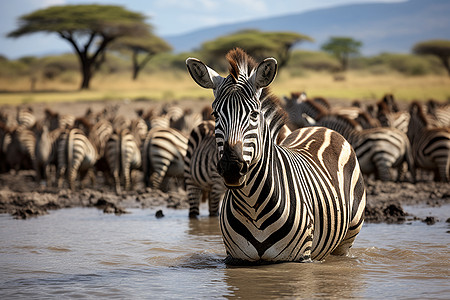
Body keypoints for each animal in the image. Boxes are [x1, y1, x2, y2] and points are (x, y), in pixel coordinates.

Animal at [186, 48, 366, 264]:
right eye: (215, 115)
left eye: (254, 114)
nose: (232, 168)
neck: (252, 205)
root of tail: (322, 128)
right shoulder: (234, 258)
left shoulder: (300, 259)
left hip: (348, 237)